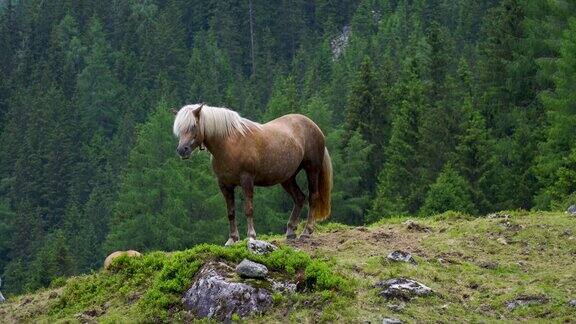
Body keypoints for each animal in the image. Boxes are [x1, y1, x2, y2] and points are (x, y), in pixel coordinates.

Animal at [172, 103, 332, 243]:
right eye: (179, 129)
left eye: (193, 126)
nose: (182, 150)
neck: (229, 144)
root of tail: (314, 126)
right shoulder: (224, 185)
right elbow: (231, 212)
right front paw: (232, 239)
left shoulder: (247, 180)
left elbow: (248, 209)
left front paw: (251, 236)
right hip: (288, 178)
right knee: (299, 198)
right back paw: (291, 231)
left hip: (312, 170)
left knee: (312, 197)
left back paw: (306, 232)